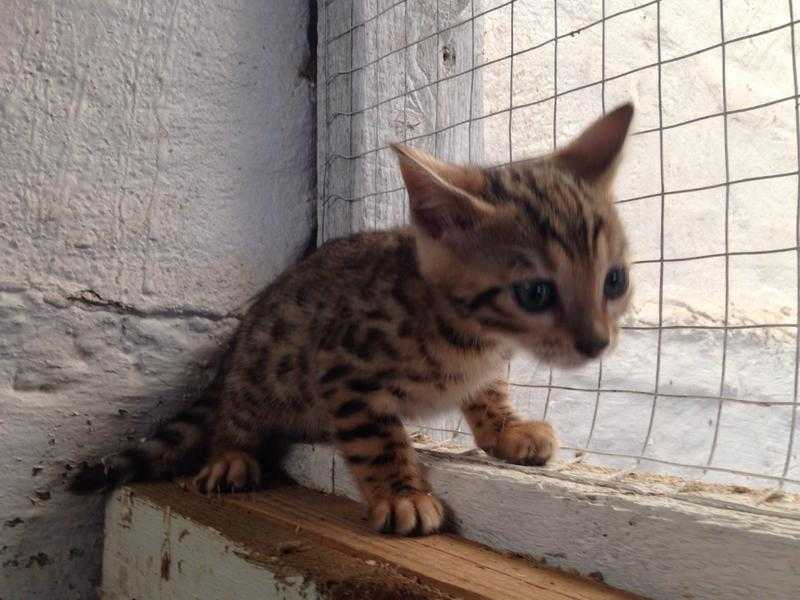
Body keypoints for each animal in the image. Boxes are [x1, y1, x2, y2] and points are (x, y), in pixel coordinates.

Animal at [72, 103, 636, 536]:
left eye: (614, 281)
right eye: (535, 292)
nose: (597, 343)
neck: (472, 336)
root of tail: (234, 346)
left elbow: (488, 390)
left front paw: (507, 429)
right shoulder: (344, 367)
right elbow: (378, 440)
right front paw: (403, 495)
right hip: (262, 370)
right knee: (234, 412)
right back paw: (231, 455)